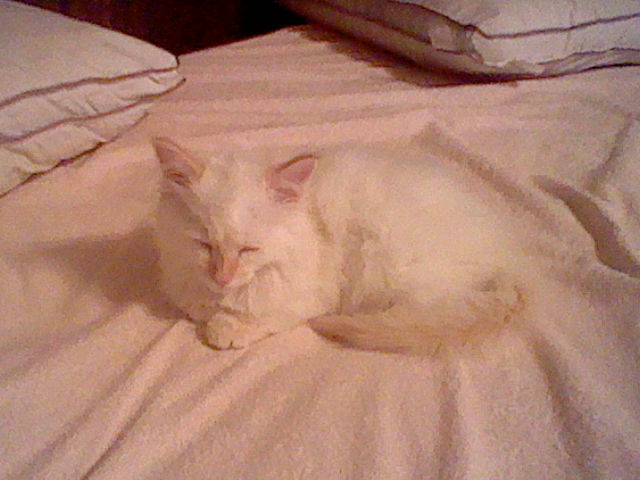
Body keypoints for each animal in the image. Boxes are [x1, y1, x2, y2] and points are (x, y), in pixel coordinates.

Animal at [152, 137, 528, 354]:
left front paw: (227, 326)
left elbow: (265, 311)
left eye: (249, 249)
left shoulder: (314, 292)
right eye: (203, 243)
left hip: (391, 264)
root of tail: (511, 255)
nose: (222, 276)